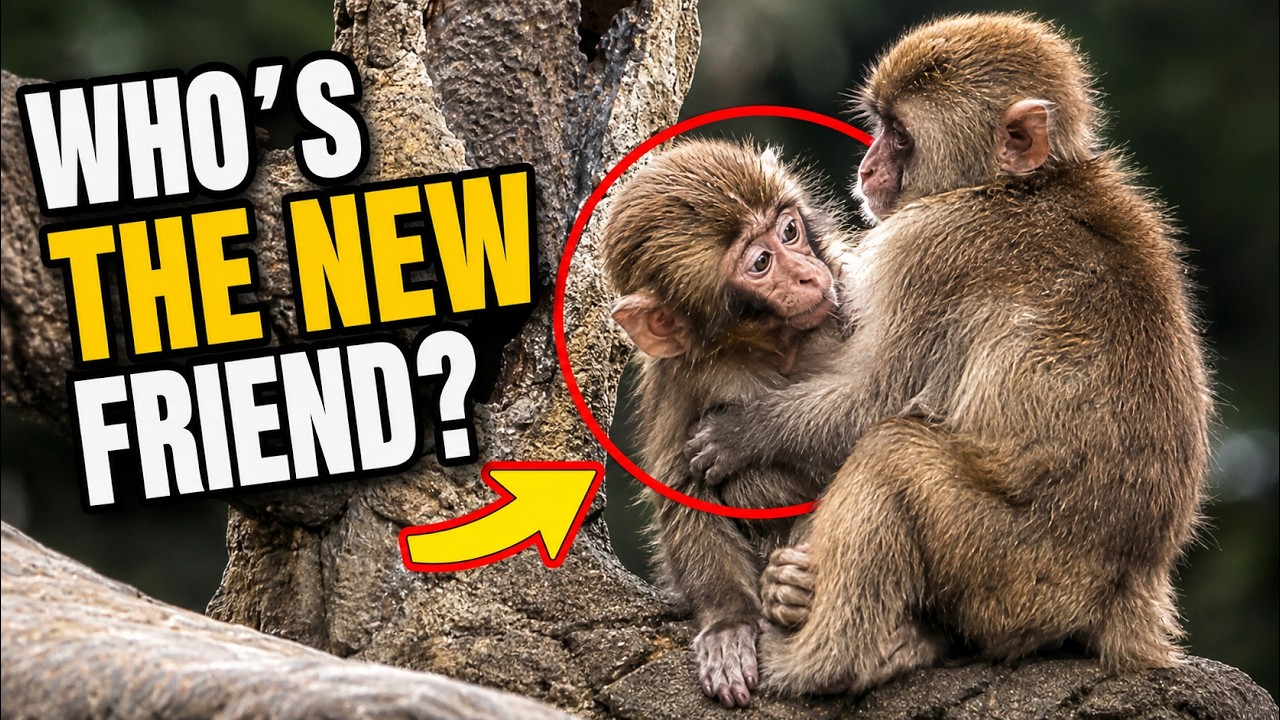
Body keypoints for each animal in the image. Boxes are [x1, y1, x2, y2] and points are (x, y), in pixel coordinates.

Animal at [600, 138, 852, 707]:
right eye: (760, 262)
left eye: (788, 232)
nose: (807, 275)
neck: (777, 347)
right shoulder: (677, 377)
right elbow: (683, 486)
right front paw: (729, 623)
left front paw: (745, 431)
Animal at [686, 13, 1212, 696]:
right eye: (879, 126)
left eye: (900, 136)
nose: (867, 166)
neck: (1014, 185)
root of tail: (1127, 590)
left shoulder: (926, 248)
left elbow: (874, 398)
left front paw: (742, 434)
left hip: (1012, 571)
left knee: (891, 452)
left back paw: (829, 659)